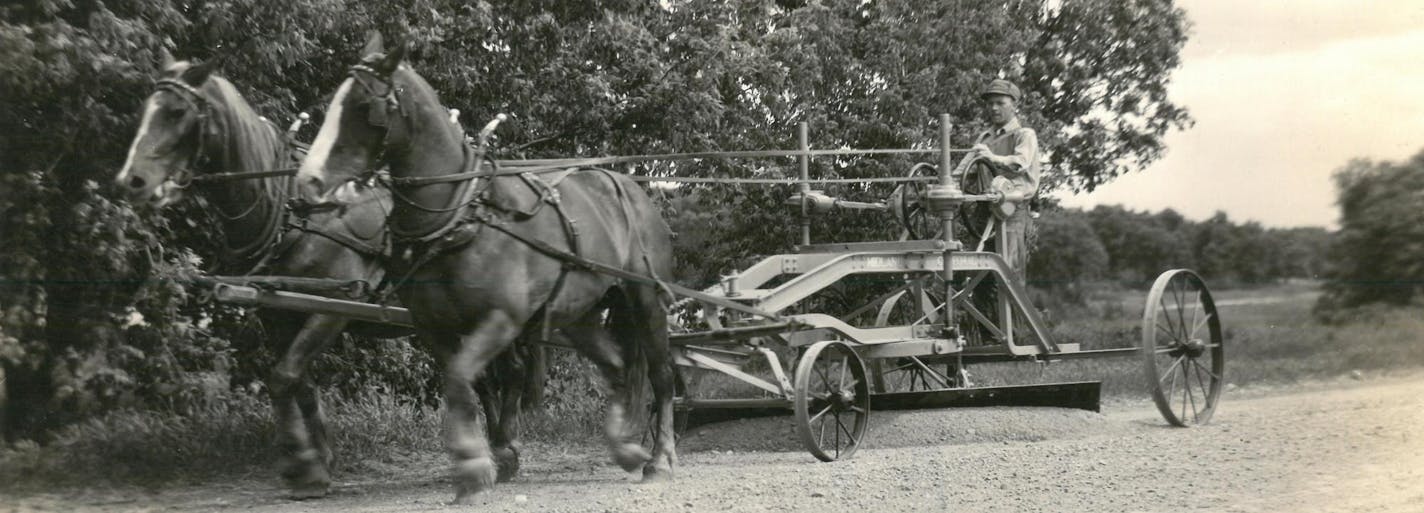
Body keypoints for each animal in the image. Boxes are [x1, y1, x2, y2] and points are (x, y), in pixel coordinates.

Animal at [111, 55, 541, 495]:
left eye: (176, 112)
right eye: (145, 111)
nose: (131, 181)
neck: (292, 211)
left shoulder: (334, 305)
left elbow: (284, 376)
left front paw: (304, 465)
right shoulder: (279, 311)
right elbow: (298, 383)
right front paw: (319, 458)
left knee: (510, 370)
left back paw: (504, 448)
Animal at [294, 32, 677, 501]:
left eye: (364, 107)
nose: (308, 181)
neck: (462, 216)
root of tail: (632, 189)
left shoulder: (501, 318)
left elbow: (462, 379)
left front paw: (475, 467)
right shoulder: (434, 326)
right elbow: (462, 384)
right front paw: (486, 461)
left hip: (646, 299)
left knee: (661, 375)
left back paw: (660, 458)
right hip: (579, 313)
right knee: (618, 367)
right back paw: (624, 446)